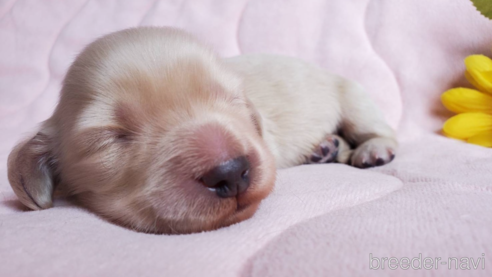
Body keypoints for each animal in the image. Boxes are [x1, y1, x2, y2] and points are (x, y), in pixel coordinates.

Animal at [6, 27, 396, 233]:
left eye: (233, 100)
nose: (232, 173)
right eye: (109, 138)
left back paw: (370, 149)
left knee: (378, 130)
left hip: (352, 96)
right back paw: (325, 149)